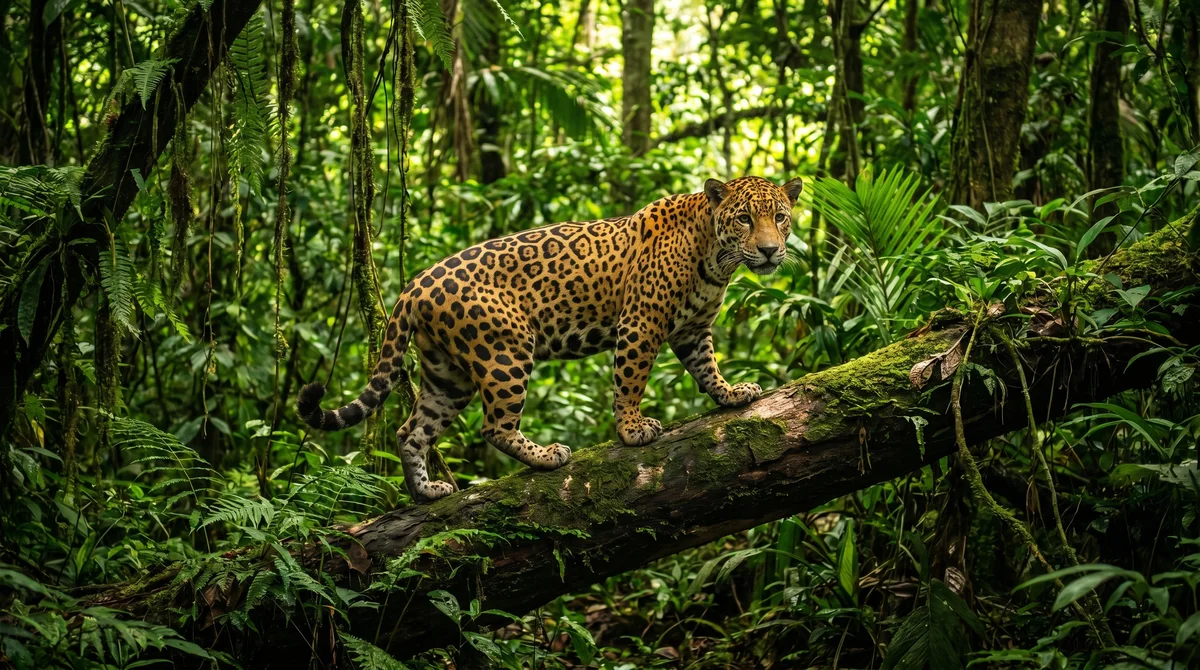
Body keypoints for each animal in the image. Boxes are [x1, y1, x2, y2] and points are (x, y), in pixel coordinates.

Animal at [297, 175, 804, 503]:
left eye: (780, 217)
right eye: (744, 219)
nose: (769, 251)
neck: (715, 257)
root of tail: (414, 285)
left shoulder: (693, 330)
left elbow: (707, 368)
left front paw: (732, 393)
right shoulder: (640, 323)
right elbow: (630, 381)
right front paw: (632, 430)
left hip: (447, 375)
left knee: (411, 431)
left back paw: (426, 492)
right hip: (504, 350)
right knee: (494, 426)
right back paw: (547, 457)